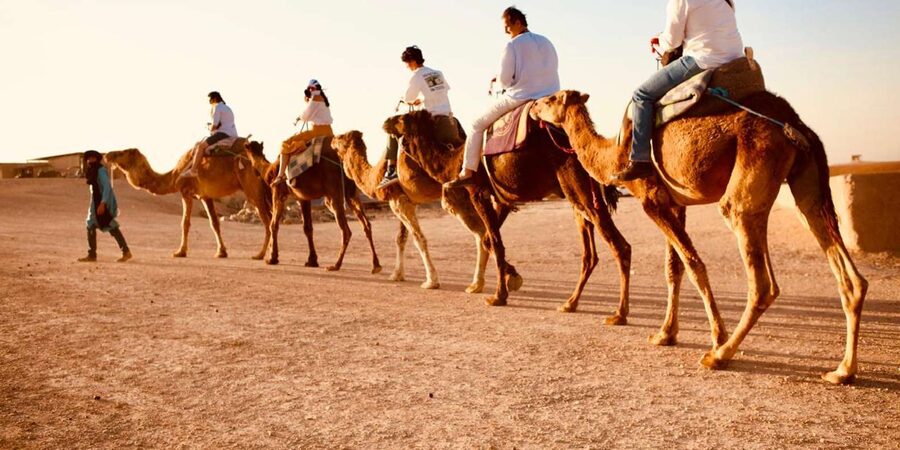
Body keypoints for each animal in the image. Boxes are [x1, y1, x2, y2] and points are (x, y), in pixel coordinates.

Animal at [104, 143, 271, 259]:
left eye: (123, 152)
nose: (107, 155)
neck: (174, 175)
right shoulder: (205, 196)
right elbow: (214, 223)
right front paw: (221, 252)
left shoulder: (186, 192)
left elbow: (185, 222)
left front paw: (180, 252)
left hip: (253, 191)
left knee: (267, 221)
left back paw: (261, 254)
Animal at [243, 140, 381, 273]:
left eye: (247, 152)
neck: (268, 170)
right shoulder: (303, 198)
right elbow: (308, 228)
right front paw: (312, 261)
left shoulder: (278, 192)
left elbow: (273, 224)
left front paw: (272, 258)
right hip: (351, 193)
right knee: (366, 225)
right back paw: (376, 265)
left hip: (334, 193)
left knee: (346, 230)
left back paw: (336, 265)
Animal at [331, 129, 498, 292]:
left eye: (340, 137)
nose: (332, 140)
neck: (375, 178)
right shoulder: (404, 200)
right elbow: (401, 238)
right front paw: (396, 275)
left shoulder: (398, 201)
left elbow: (418, 239)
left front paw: (431, 281)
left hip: (457, 194)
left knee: (481, 233)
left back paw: (478, 284)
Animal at [385, 110, 632, 324]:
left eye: (402, 118)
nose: (386, 121)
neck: (454, 161)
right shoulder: (502, 198)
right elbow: (489, 240)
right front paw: (512, 277)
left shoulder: (478, 192)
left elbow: (495, 241)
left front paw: (498, 295)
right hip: (577, 197)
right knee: (589, 254)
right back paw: (569, 303)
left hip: (579, 190)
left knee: (620, 246)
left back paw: (619, 314)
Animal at [529, 90, 868, 384]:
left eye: (551, 99)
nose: (532, 106)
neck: (614, 155)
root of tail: (795, 125)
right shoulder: (674, 203)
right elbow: (674, 267)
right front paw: (665, 333)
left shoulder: (651, 199)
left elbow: (693, 264)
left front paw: (716, 336)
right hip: (805, 186)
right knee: (847, 273)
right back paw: (842, 371)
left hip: (748, 181)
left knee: (761, 280)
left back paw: (719, 355)